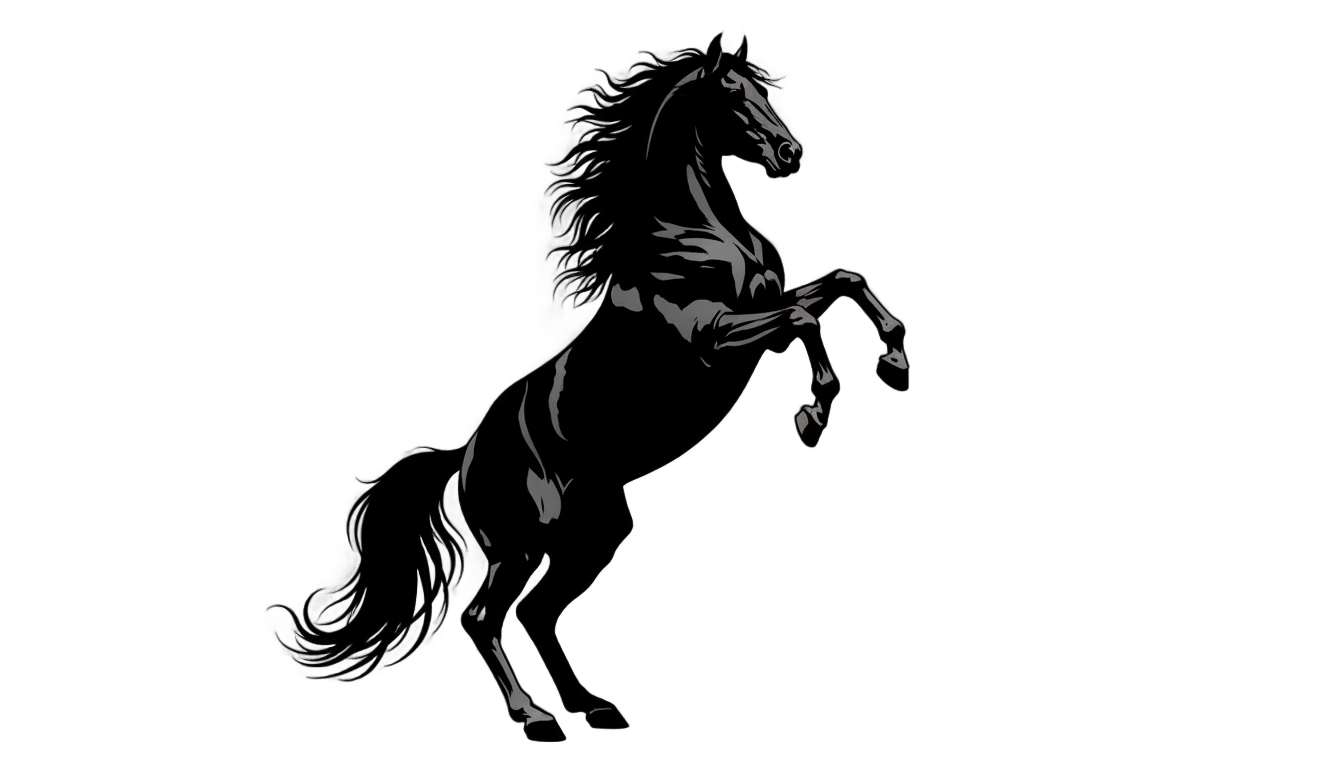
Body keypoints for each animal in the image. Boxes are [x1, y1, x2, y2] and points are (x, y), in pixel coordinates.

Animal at [273, 34, 913, 745]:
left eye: (765, 89)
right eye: (730, 95)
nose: (790, 153)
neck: (701, 237)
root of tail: (462, 456)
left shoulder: (763, 317)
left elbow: (843, 281)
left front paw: (895, 360)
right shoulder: (716, 337)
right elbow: (804, 318)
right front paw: (813, 412)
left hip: (593, 531)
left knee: (536, 614)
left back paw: (593, 708)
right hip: (519, 545)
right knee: (482, 618)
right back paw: (534, 719)